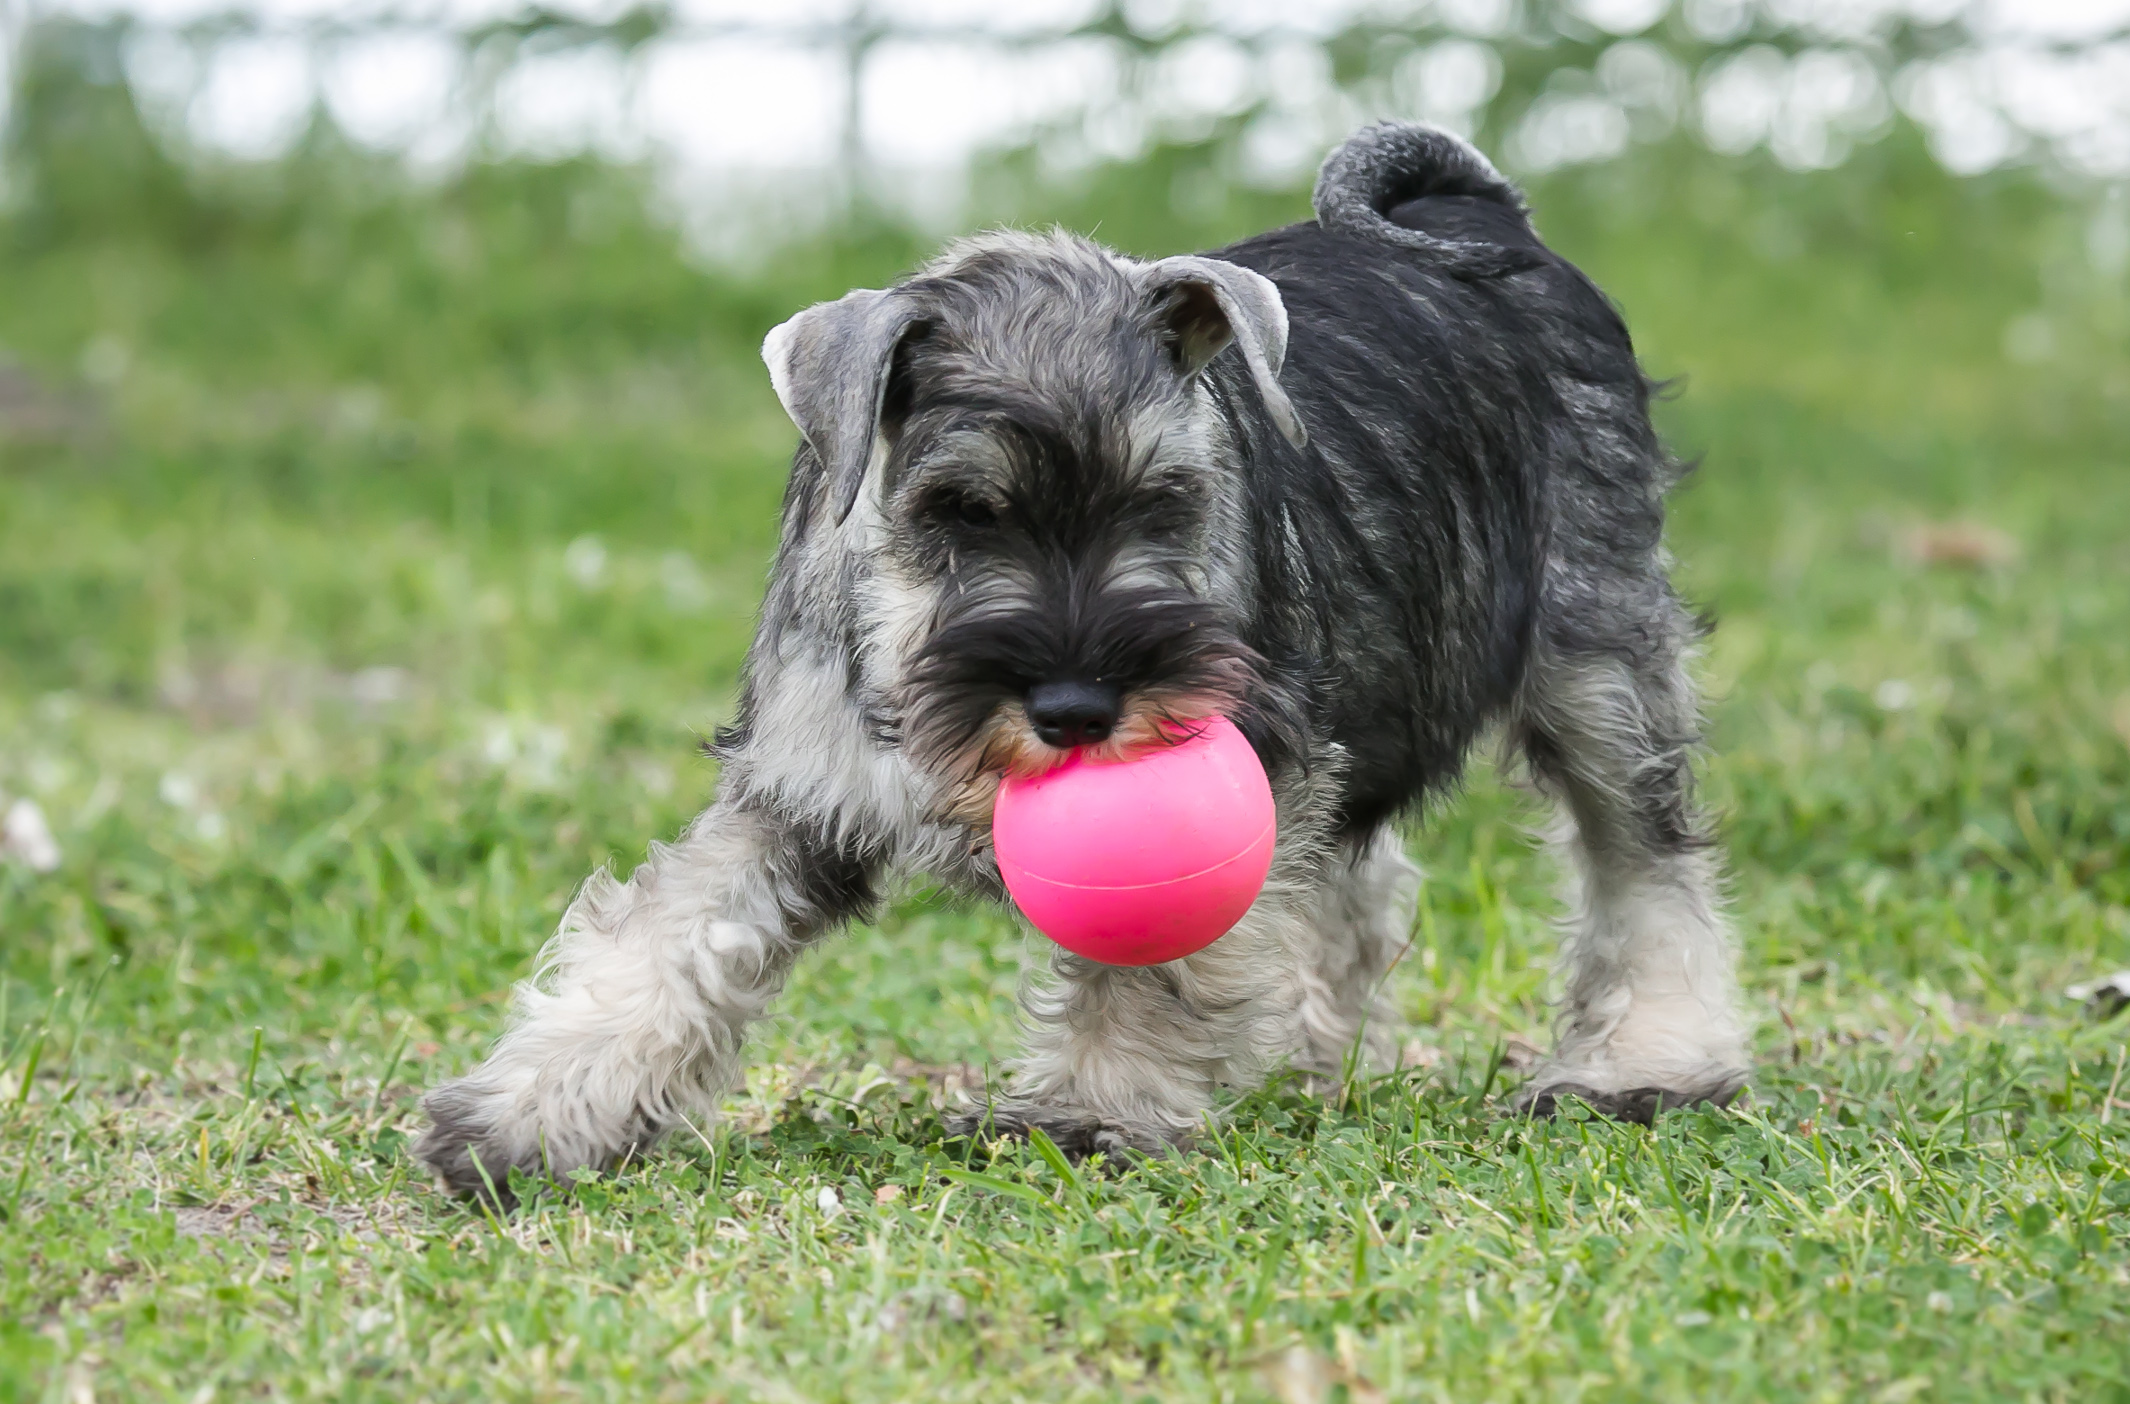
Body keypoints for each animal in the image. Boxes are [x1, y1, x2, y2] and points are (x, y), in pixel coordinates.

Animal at [411, 120, 1746, 1201]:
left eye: (1163, 501)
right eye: (962, 512)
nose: (1076, 706)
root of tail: (1478, 216)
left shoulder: (1256, 748)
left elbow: (1148, 961)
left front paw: (1091, 1115)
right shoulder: (793, 790)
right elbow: (674, 935)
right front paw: (527, 1113)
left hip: (1595, 662)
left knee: (1644, 864)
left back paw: (1647, 1066)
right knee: (1359, 885)